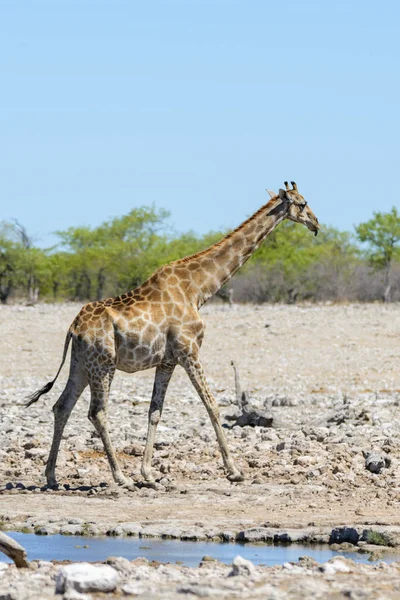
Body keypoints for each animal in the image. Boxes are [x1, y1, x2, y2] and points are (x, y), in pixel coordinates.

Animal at [27, 183, 318, 488]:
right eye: (302, 203)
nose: (316, 223)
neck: (198, 290)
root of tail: (74, 328)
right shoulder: (189, 351)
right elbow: (212, 405)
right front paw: (234, 471)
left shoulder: (167, 361)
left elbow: (155, 412)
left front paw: (148, 474)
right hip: (103, 365)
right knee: (97, 412)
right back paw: (120, 477)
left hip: (81, 365)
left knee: (62, 406)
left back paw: (52, 477)